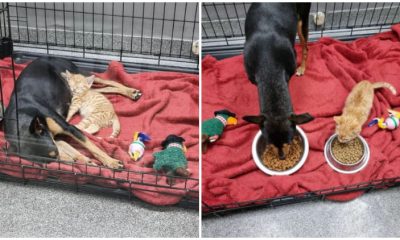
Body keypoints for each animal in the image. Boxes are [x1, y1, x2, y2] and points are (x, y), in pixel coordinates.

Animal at [3, 56, 139, 169]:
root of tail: (48, 56)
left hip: (80, 74)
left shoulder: (70, 128)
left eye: (55, 152)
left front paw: (112, 162)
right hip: (78, 89)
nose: (70, 161)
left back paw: (131, 91)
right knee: (103, 88)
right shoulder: (55, 138)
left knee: (109, 81)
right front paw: (84, 160)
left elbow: (93, 147)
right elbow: (70, 148)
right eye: (45, 163)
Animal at [242, 3, 314, 159]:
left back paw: (302, 67)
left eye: (289, 141)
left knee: (306, 46)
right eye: (270, 143)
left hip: (301, 21)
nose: (281, 157)